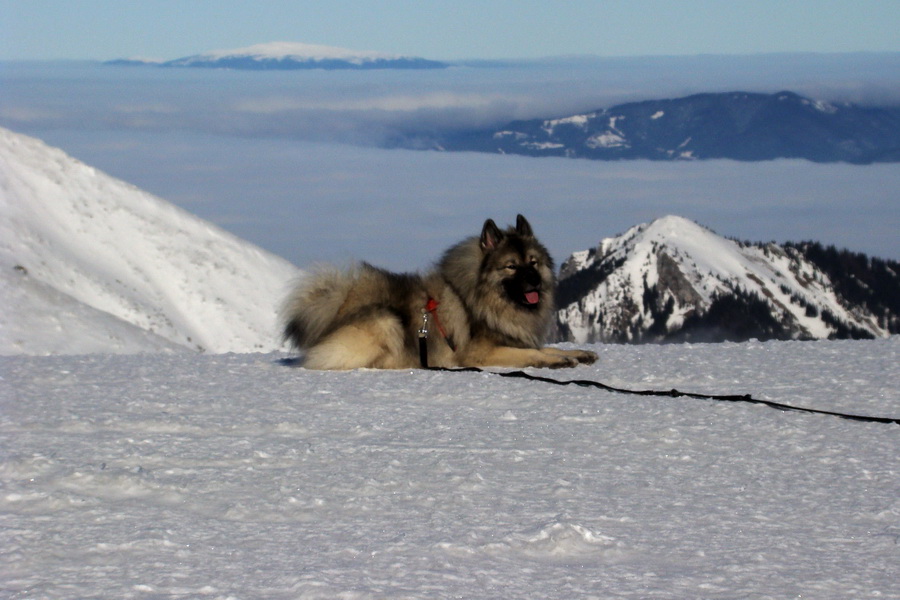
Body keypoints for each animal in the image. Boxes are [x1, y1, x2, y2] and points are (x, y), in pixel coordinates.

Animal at [284, 213, 596, 368]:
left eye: (533, 262)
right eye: (511, 266)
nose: (535, 282)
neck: (484, 298)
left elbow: (544, 347)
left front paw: (578, 353)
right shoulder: (478, 353)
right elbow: (530, 354)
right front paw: (559, 360)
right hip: (387, 321)